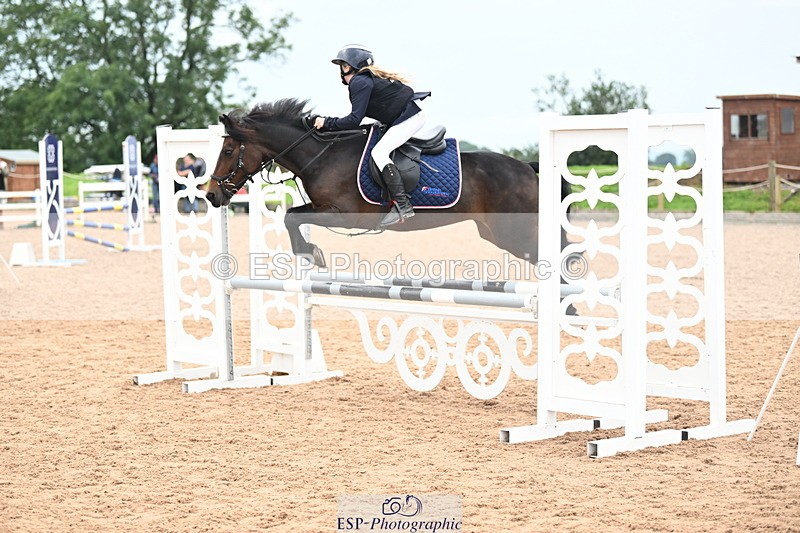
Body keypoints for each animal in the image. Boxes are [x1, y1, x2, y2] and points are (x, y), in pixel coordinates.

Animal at [204, 98, 568, 270]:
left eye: (227, 150)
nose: (210, 195)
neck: (323, 153)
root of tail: (527, 167)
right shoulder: (322, 207)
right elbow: (291, 215)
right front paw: (311, 253)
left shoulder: (345, 215)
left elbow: (291, 217)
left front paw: (313, 255)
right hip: (496, 233)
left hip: (516, 233)